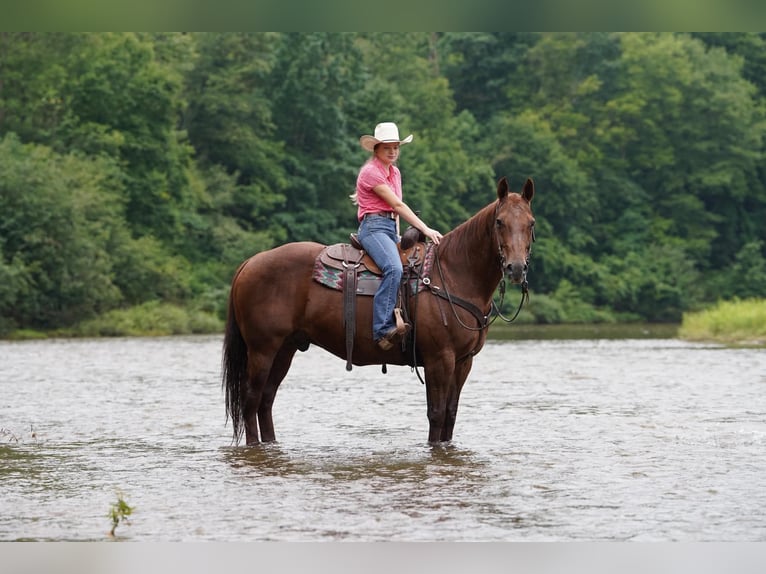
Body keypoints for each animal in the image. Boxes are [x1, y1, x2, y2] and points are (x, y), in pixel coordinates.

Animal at [222, 176, 535, 445]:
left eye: (531, 223)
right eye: (499, 222)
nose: (516, 268)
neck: (452, 273)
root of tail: (250, 262)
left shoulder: (463, 361)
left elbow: (450, 414)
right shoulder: (439, 358)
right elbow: (436, 414)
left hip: (284, 349)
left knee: (266, 400)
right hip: (262, 349)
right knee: (251, 400)